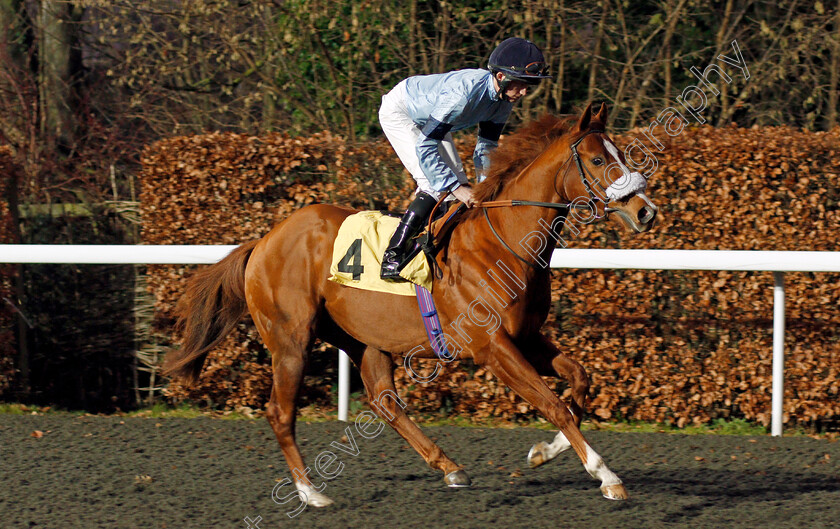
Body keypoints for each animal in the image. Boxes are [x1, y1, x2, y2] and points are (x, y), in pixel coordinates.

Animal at [164, 102, 660, 504]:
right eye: (598, 159)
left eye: (620, 154)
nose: (646, 211)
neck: (503, 242)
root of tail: (264, 240)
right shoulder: (492, 348)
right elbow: (553, 403)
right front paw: (606, 475)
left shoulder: (527, 337)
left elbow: (579, 382)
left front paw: (544, 451)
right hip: (290, 341)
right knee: (280, 412)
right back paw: (310, 493)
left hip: (362, 339)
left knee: (385, 402)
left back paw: (450, 468)